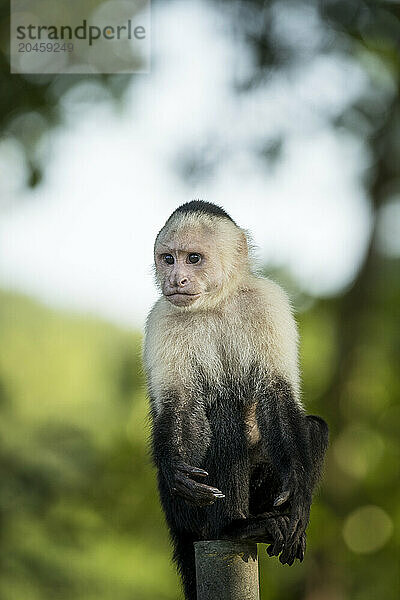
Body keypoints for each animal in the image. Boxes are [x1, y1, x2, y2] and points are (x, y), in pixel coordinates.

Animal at [144, 202, 328, 600]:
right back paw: (232, 529)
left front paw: (297, 497)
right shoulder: (162, 318)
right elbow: (180, 405)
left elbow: (277, 394)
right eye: (168, 259)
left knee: (313, 428)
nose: (176, 279)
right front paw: (176, 466)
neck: (216, 302)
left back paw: (272, 523)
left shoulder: (268, 301)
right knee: (223, 414)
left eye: (193, 259)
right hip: (182, 513)